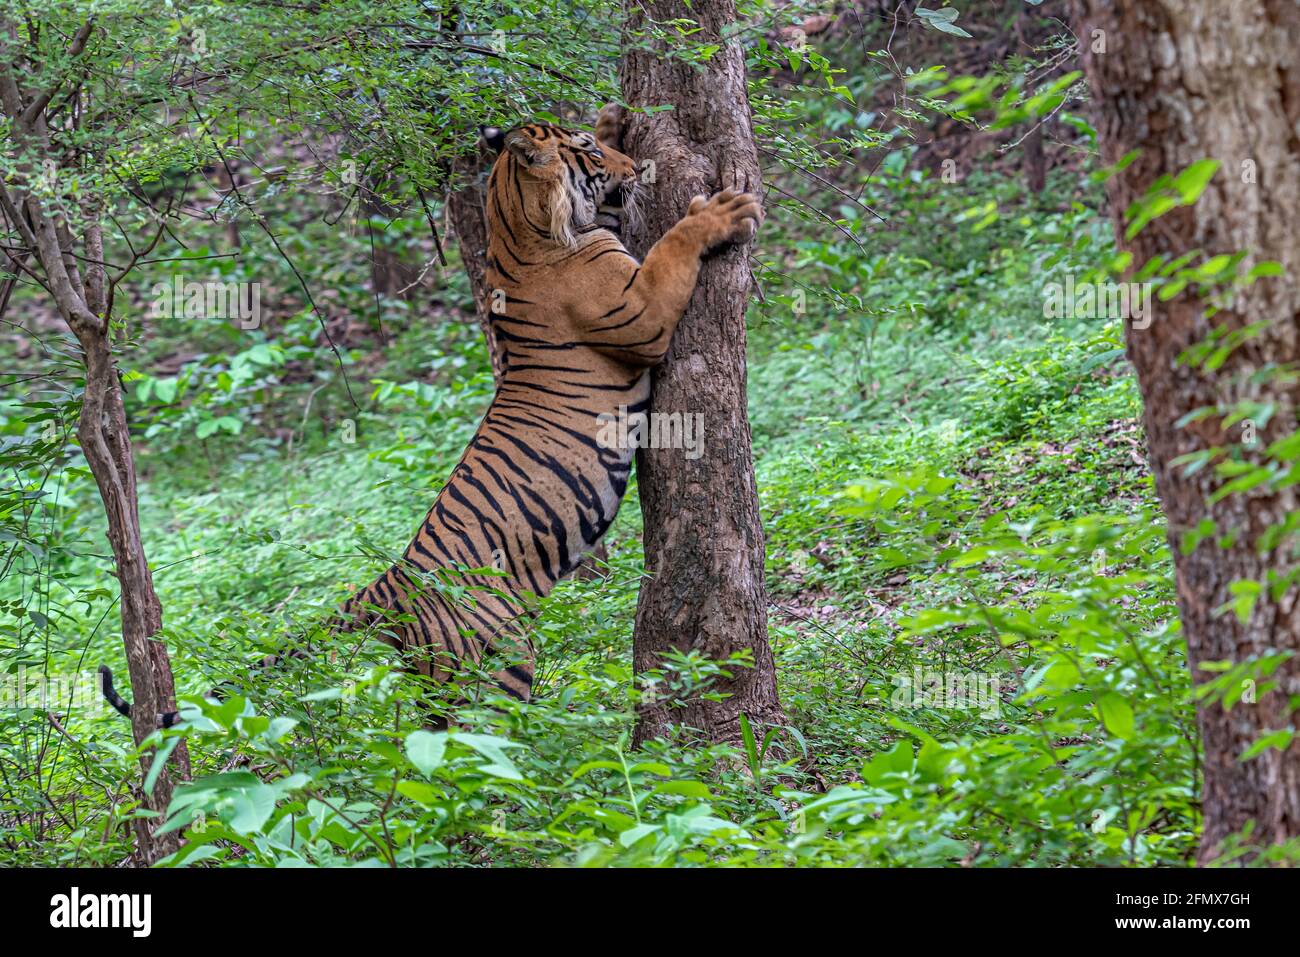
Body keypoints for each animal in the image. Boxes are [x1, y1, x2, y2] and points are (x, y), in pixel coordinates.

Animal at [102, 107, 762, 726]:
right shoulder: (641, 311)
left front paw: (613, 113)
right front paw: (725, 209)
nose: (634, 168)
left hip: (432, 678)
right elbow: (673, 244)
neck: (514, 220)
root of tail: (391, 583)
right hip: (496, 659)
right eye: (593, 156)